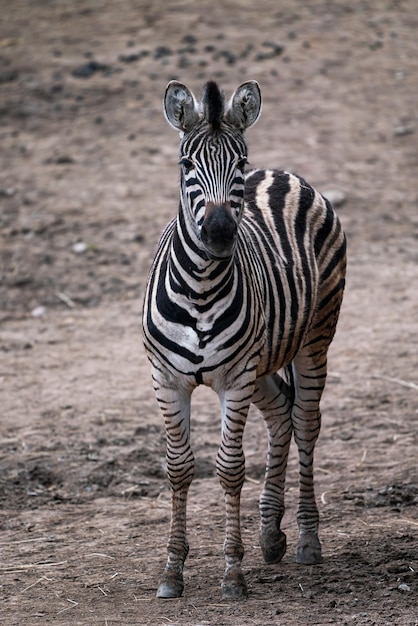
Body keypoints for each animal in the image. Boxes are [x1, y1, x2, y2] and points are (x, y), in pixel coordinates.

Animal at [142, 80, 348, 596]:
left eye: (240, 162)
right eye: (186, 165)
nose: (218, 232)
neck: (200, 288)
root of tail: (280, 173)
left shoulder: (234, 379)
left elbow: (229, 468)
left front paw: (233, 571)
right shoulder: (166, 379)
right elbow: (179, 467)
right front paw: (172, 570)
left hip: (315, 337)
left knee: (305, 421)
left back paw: (306, 540)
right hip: (264, 359)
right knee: (280, 415)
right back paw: (271, 535)